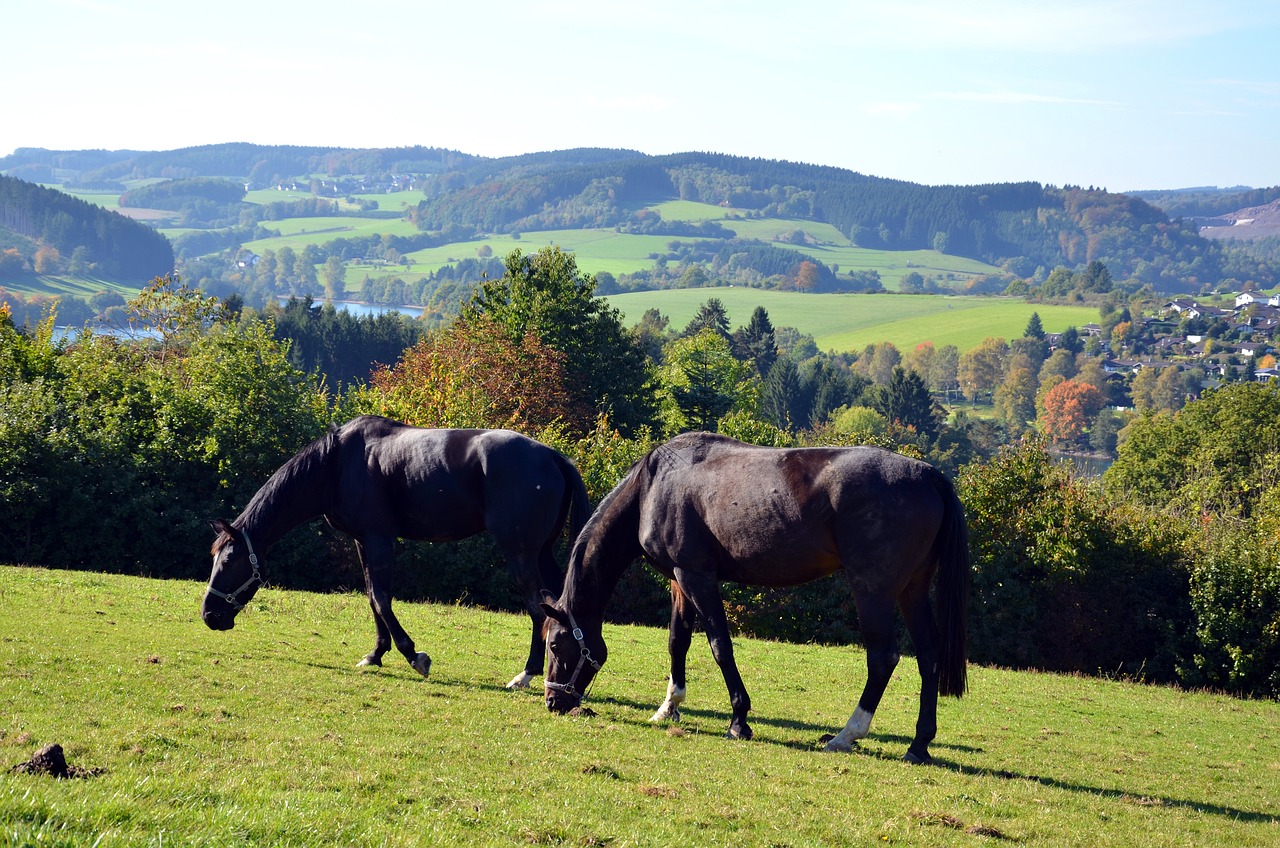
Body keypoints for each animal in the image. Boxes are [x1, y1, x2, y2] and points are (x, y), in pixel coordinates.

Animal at [200, 417, 588, 691]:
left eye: (229, 561)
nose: (209, 615)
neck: (336, 464)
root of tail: (553, 457)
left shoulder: (380, 539)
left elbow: (381, 597)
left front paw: (413, 655)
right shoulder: (363, 541)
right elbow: (372, 597)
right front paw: (375, 654)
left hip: (520, 553)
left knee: (537, 606)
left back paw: (526, 674)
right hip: (542, 553)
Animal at [540, 435, 967, 768]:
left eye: (555, 644)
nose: (553, 701)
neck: (652, 487)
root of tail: (927, 475)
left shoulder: (696, 577)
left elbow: (720, 646)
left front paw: (738, 719)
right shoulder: (679, 580)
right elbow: (678, 641)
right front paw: (669, 707)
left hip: (873, 590)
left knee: (883, 658)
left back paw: (846, 735)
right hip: (912, 590)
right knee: (928, 655)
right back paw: (919, 744)